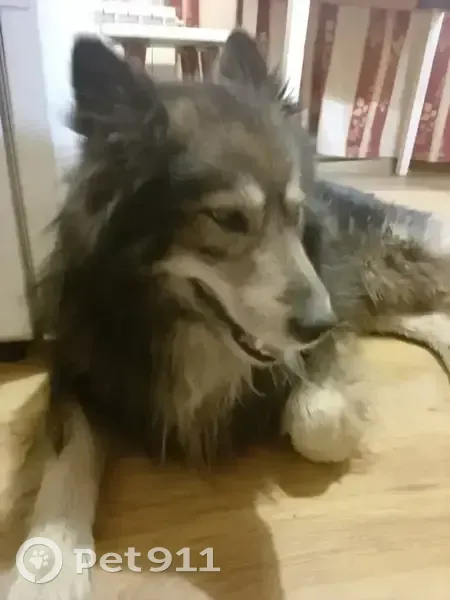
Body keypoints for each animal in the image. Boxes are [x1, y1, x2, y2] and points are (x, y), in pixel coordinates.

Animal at [6, 29, 450, 600]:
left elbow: (317, 424)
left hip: (387, 263)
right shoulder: (79, 368)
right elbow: (66, 462)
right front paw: (48, 570)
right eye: (226, 218)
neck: (185, 326)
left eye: (296, 212)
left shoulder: (328, 320)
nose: (319, 323)